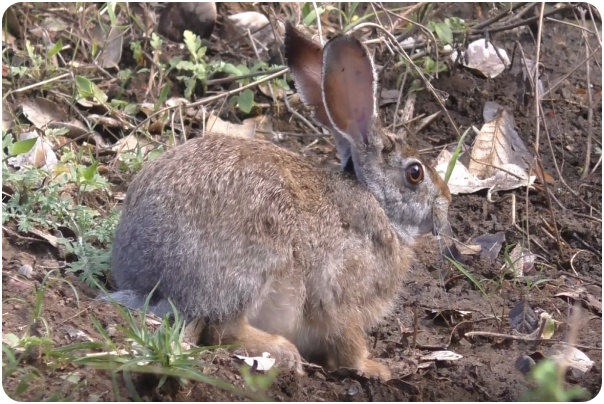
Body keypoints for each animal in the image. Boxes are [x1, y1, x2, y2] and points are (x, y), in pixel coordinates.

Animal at [108, 23, 450, 380]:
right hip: (256, 264)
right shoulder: (342, 295)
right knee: (223, 330)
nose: (446, 203)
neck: (377, 200)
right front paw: (375, 368)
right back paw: (284, 352)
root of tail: (147, 283)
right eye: (415, 173)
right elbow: (348, 341)